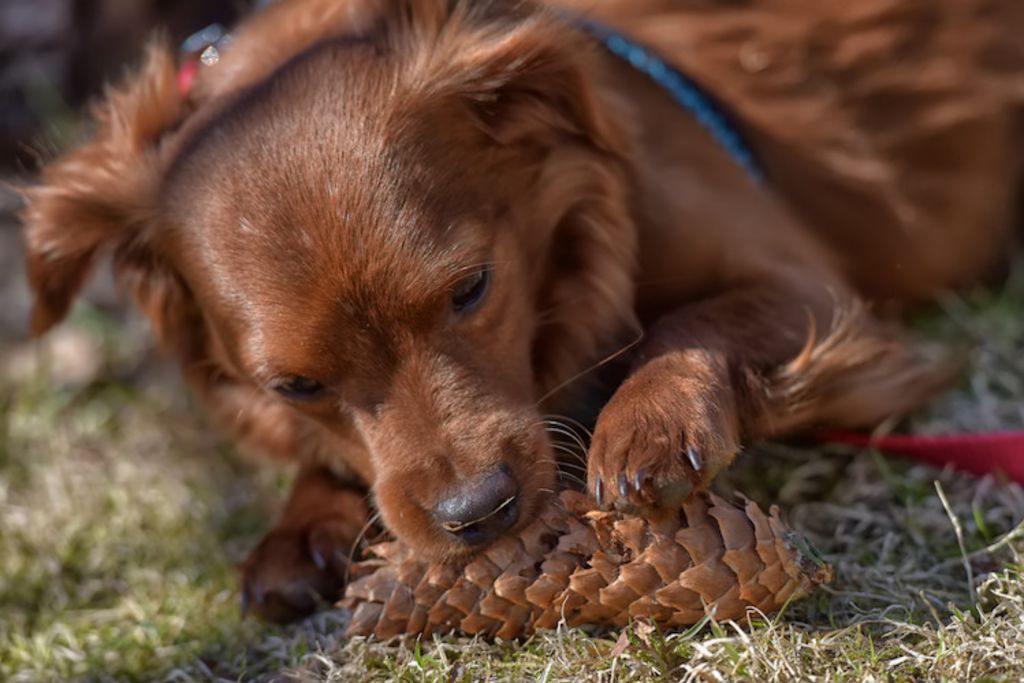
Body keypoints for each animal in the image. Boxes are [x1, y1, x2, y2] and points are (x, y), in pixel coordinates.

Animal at [19, 0, 1019, 618]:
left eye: (472, 287)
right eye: (295, 384)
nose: (478, 512)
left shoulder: (812, 285)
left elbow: (686, 322)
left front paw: (647, 420)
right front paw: (301, 525)